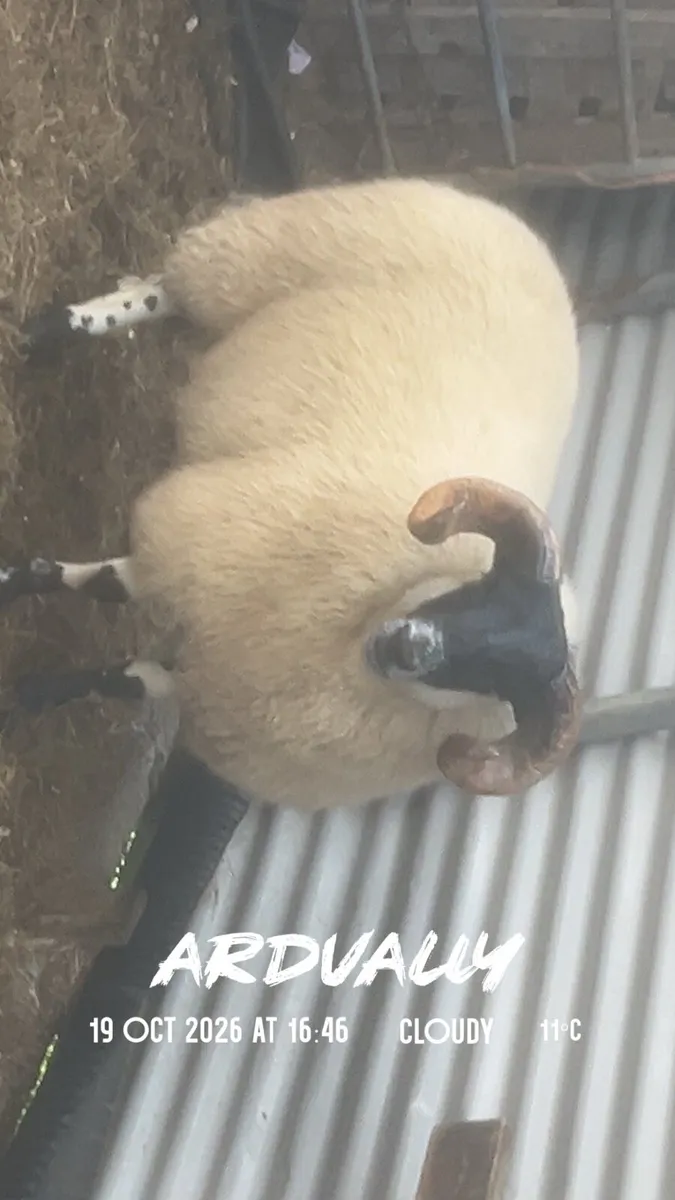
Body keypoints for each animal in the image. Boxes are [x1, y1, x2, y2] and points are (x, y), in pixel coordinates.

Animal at [5, 177, 582, 810]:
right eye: (483, 587)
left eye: (502, 681)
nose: (408, 649)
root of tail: (533, 243)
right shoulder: (188, 546)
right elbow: (98, 584)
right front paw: (9, 584)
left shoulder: (199, 673)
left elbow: (124, 664)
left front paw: (31, 689)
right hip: (266, 253)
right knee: (166, 291)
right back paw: (46, 332)